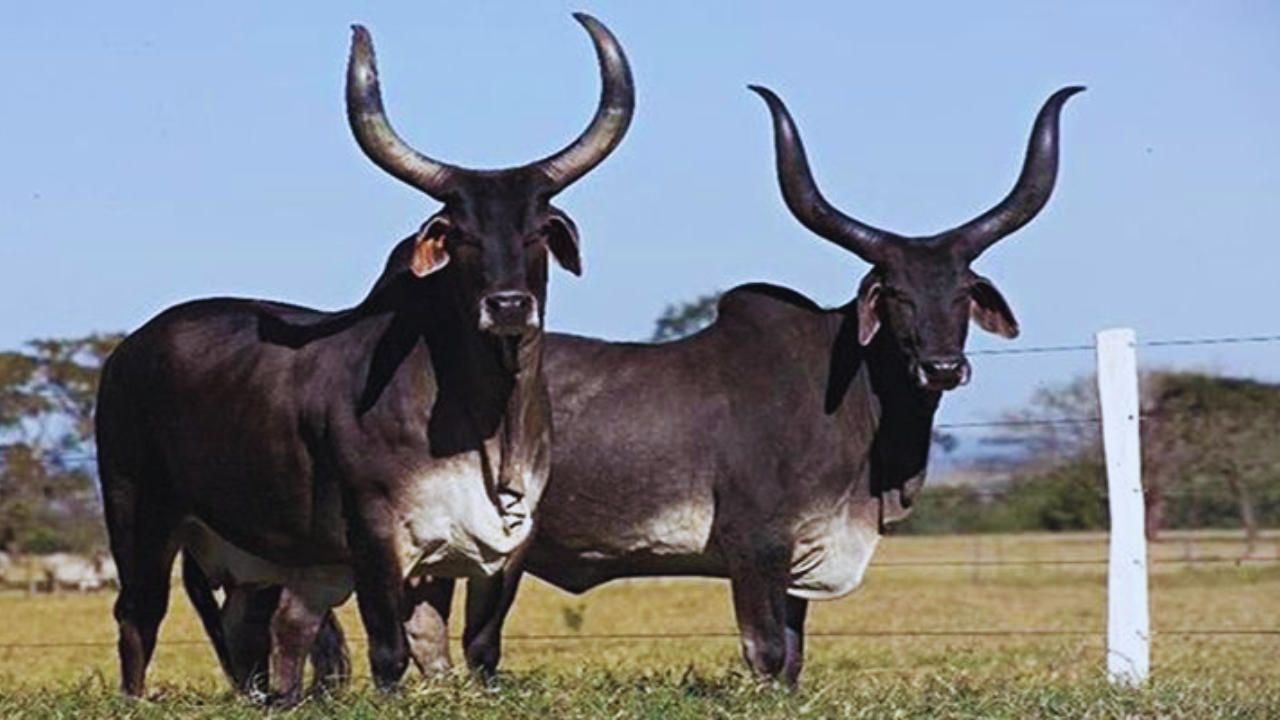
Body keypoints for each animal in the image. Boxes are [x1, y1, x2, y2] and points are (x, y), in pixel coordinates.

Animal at [95, 13, 633, 704]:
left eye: (537, 230)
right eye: (460, 235)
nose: (509, 305)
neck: (486, 419)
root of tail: (130, 349)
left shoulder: (502, 548)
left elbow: (468, 648)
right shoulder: (375, 537)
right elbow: (389, 650)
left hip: (265, 560)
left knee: (254, 629)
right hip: (139, 515)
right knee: (138, 617)